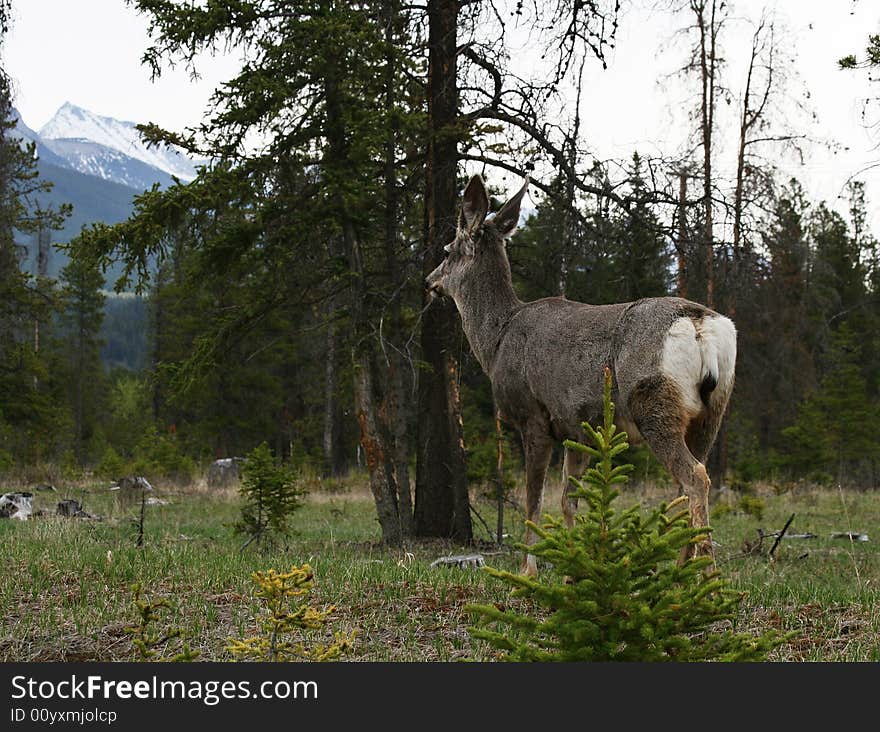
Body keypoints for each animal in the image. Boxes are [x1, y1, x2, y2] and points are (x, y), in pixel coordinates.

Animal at [426, 174, 736, 576]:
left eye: (448, 249)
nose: (429, 280)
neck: (496, 340)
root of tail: (699, 323)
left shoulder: (533, 415)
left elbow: (534, 500)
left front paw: (528, 569)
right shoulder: (580, 429)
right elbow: (568, 500)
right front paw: (576, 561)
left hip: (654, 402)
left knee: (694, 477)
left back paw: (706, 573)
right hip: (712, 411)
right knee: (691, 478)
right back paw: (680, 569)